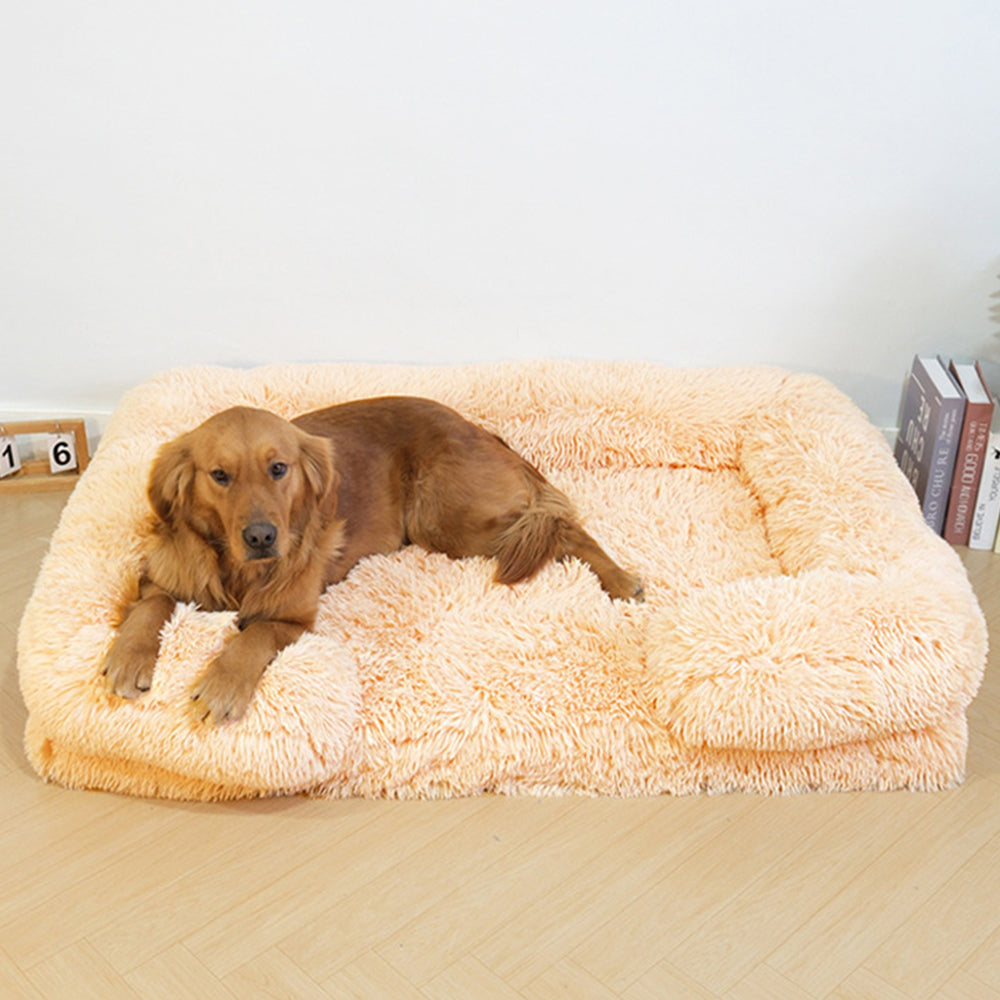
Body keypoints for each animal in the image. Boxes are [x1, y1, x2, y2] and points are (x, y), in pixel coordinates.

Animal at [103, 394, 640, 724]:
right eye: (219, 475)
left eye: (278, 469)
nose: (261, 537)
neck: (238, 569)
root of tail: (481, 430)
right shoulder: (161, 580)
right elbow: (150, 606)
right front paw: (127, 658)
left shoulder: (292, 619)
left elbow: (251, 637)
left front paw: (222, 686)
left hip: (451, 521)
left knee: (563, 527)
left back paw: (620, 579)